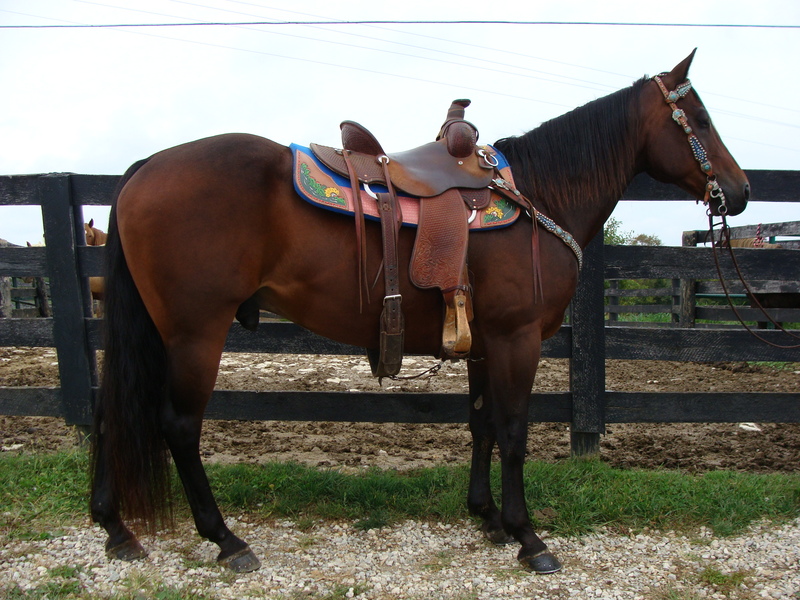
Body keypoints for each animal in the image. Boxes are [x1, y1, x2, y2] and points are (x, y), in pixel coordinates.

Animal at [90, 51, 749, 574]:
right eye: (701, 120)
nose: (740, 191)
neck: (538, 195)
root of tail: (145, 168)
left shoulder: (485, 344)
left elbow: (484, 425)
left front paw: (486, 517)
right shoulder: (517, 340)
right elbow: (515, 432)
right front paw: (528, 536)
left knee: (111, 411)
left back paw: (115, 527)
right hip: (195, 333)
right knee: (178, 425)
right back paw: (226, 540)